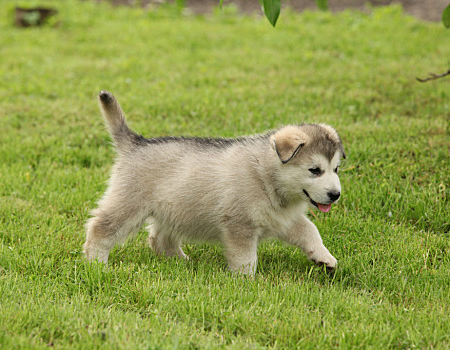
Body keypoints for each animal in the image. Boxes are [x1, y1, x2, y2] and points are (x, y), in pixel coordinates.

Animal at [83, 91, 344, 274]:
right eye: (315, 170)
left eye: (336, 168)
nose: (335, 195)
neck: (265, 175)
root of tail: (136, 142)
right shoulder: (240, 226)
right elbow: (246, 258)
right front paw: (245, 282)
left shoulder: (283, 219)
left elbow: (310, 230)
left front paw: (324, 258)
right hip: (128, 204)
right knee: (100, 227)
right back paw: (95, 263)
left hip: (174, 209)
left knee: (159, 239)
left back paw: (182, 262)